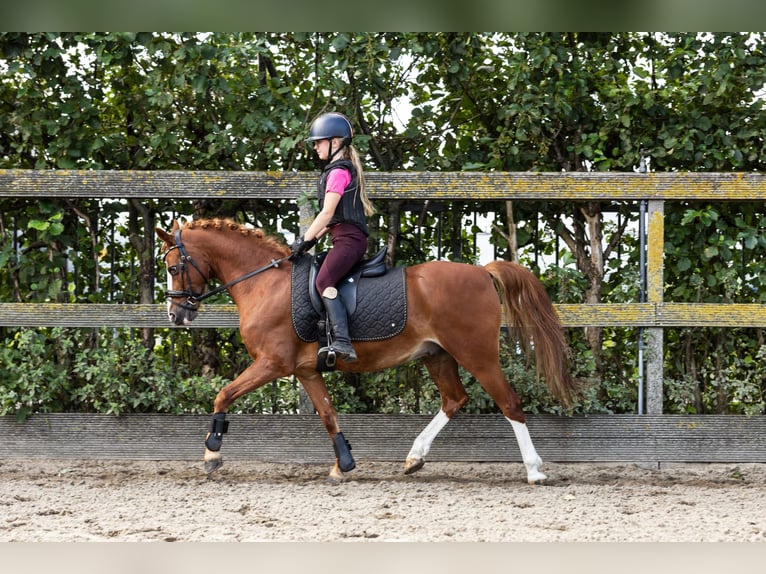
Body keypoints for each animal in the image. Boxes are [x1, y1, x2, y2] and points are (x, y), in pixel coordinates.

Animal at [154, 218, 576, 484]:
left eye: (174, 268)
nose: (176, 316)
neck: (265, 283)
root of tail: (482, 271)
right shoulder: (306, 370)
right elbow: (328, 415)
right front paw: (343, 465)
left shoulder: (272, 363)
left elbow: (223, 394)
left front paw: (212, 454)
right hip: (437, 356)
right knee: (454, 400)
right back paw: (414, 458)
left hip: (477, 354)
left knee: (509, 403)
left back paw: (535, 471)